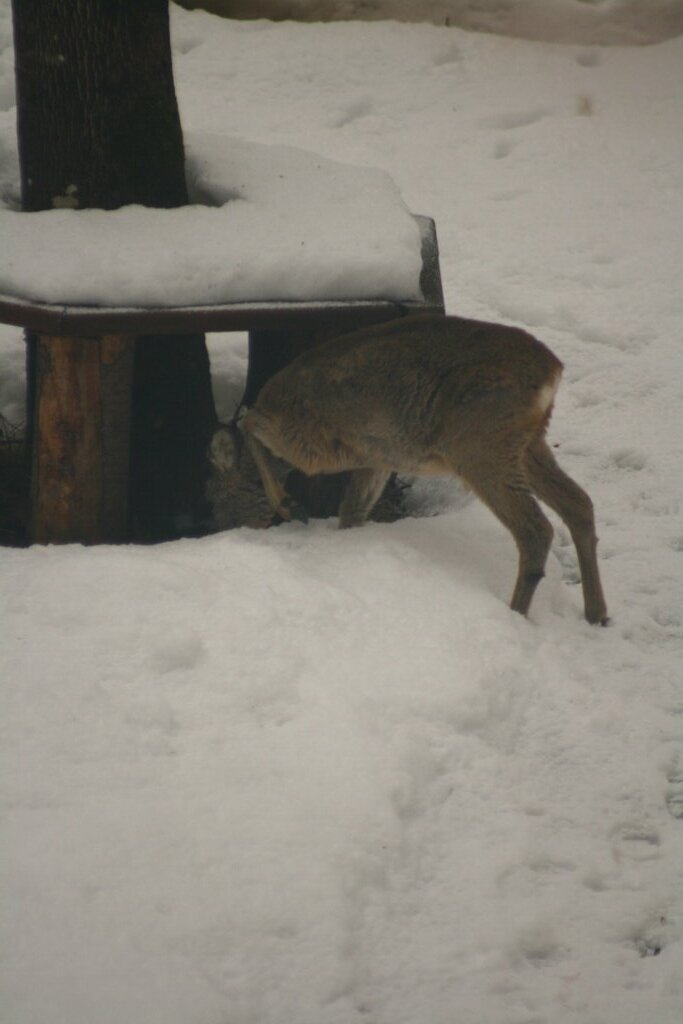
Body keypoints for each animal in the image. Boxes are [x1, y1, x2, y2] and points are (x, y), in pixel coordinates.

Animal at [209, 313, 610, 622]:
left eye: (216, 496)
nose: (213, 525)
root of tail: (552, 371)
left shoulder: (314, 446)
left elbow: (249, 424)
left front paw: (289, 505)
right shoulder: (377, 458)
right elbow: (352, 511)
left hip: (480, 443)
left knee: (536, 528)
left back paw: (515, 614)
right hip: (526, 443)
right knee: (579, 502)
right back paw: (597, 614)